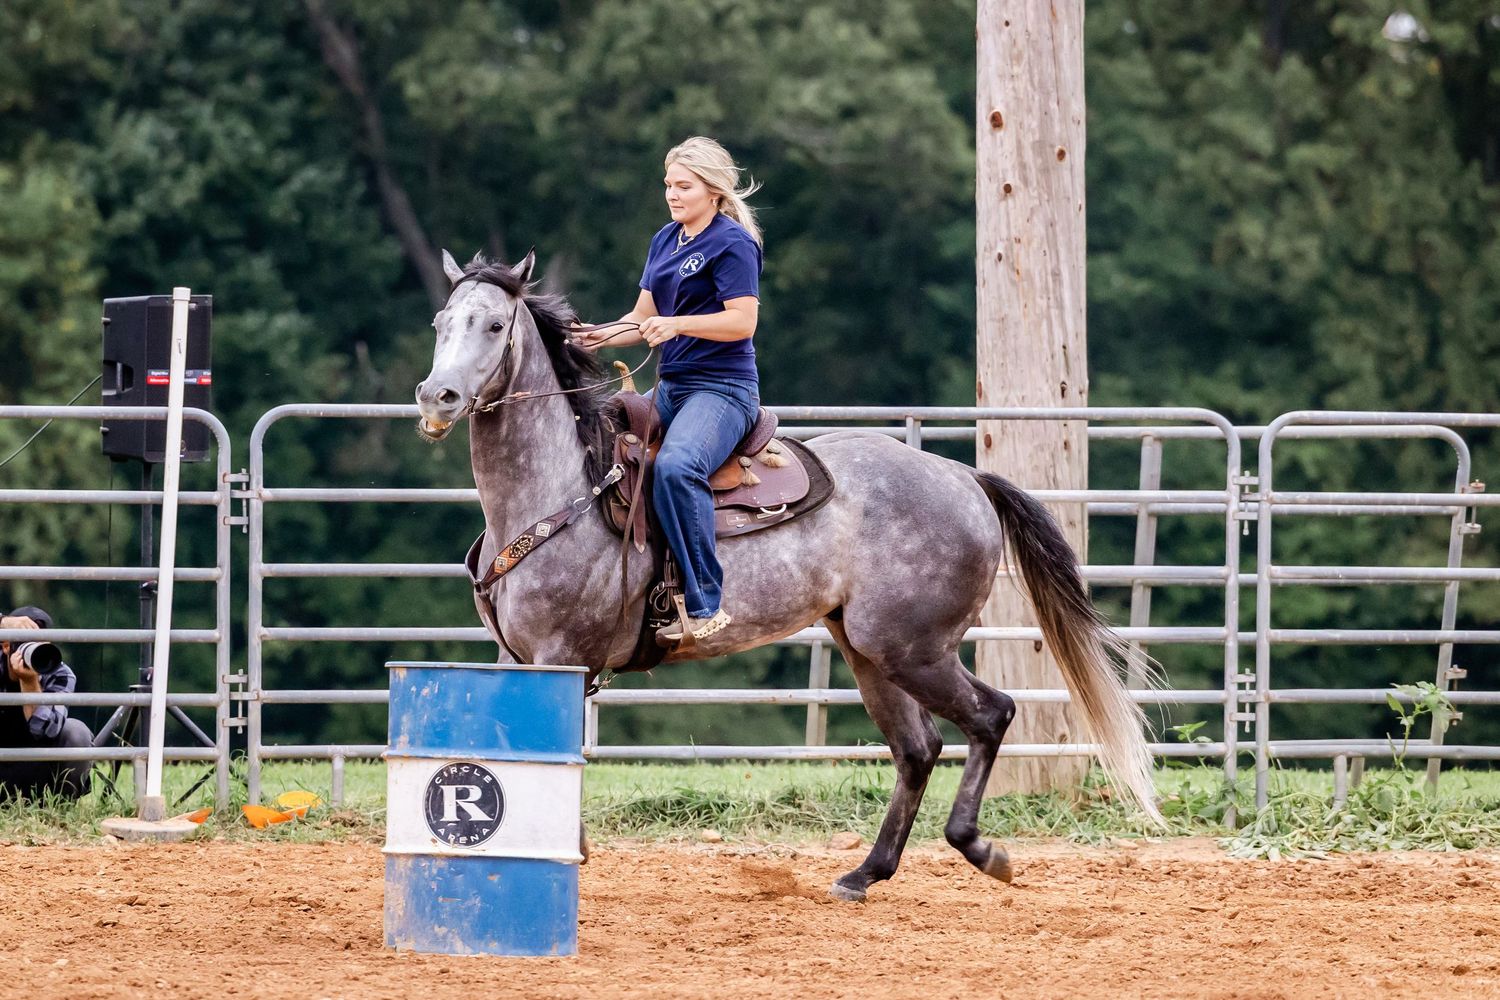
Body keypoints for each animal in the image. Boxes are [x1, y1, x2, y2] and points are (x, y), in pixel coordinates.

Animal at [414, 249, 1161, 902]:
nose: (436, 395)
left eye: (494, 325)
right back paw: (865, 874)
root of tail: (963, 477)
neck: (566, 488)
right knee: (917, 748)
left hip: (911, 649)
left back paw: (979, 848)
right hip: (867, 650)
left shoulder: (558, 655)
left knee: (991, 715)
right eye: (440, 323)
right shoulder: (518, 657)